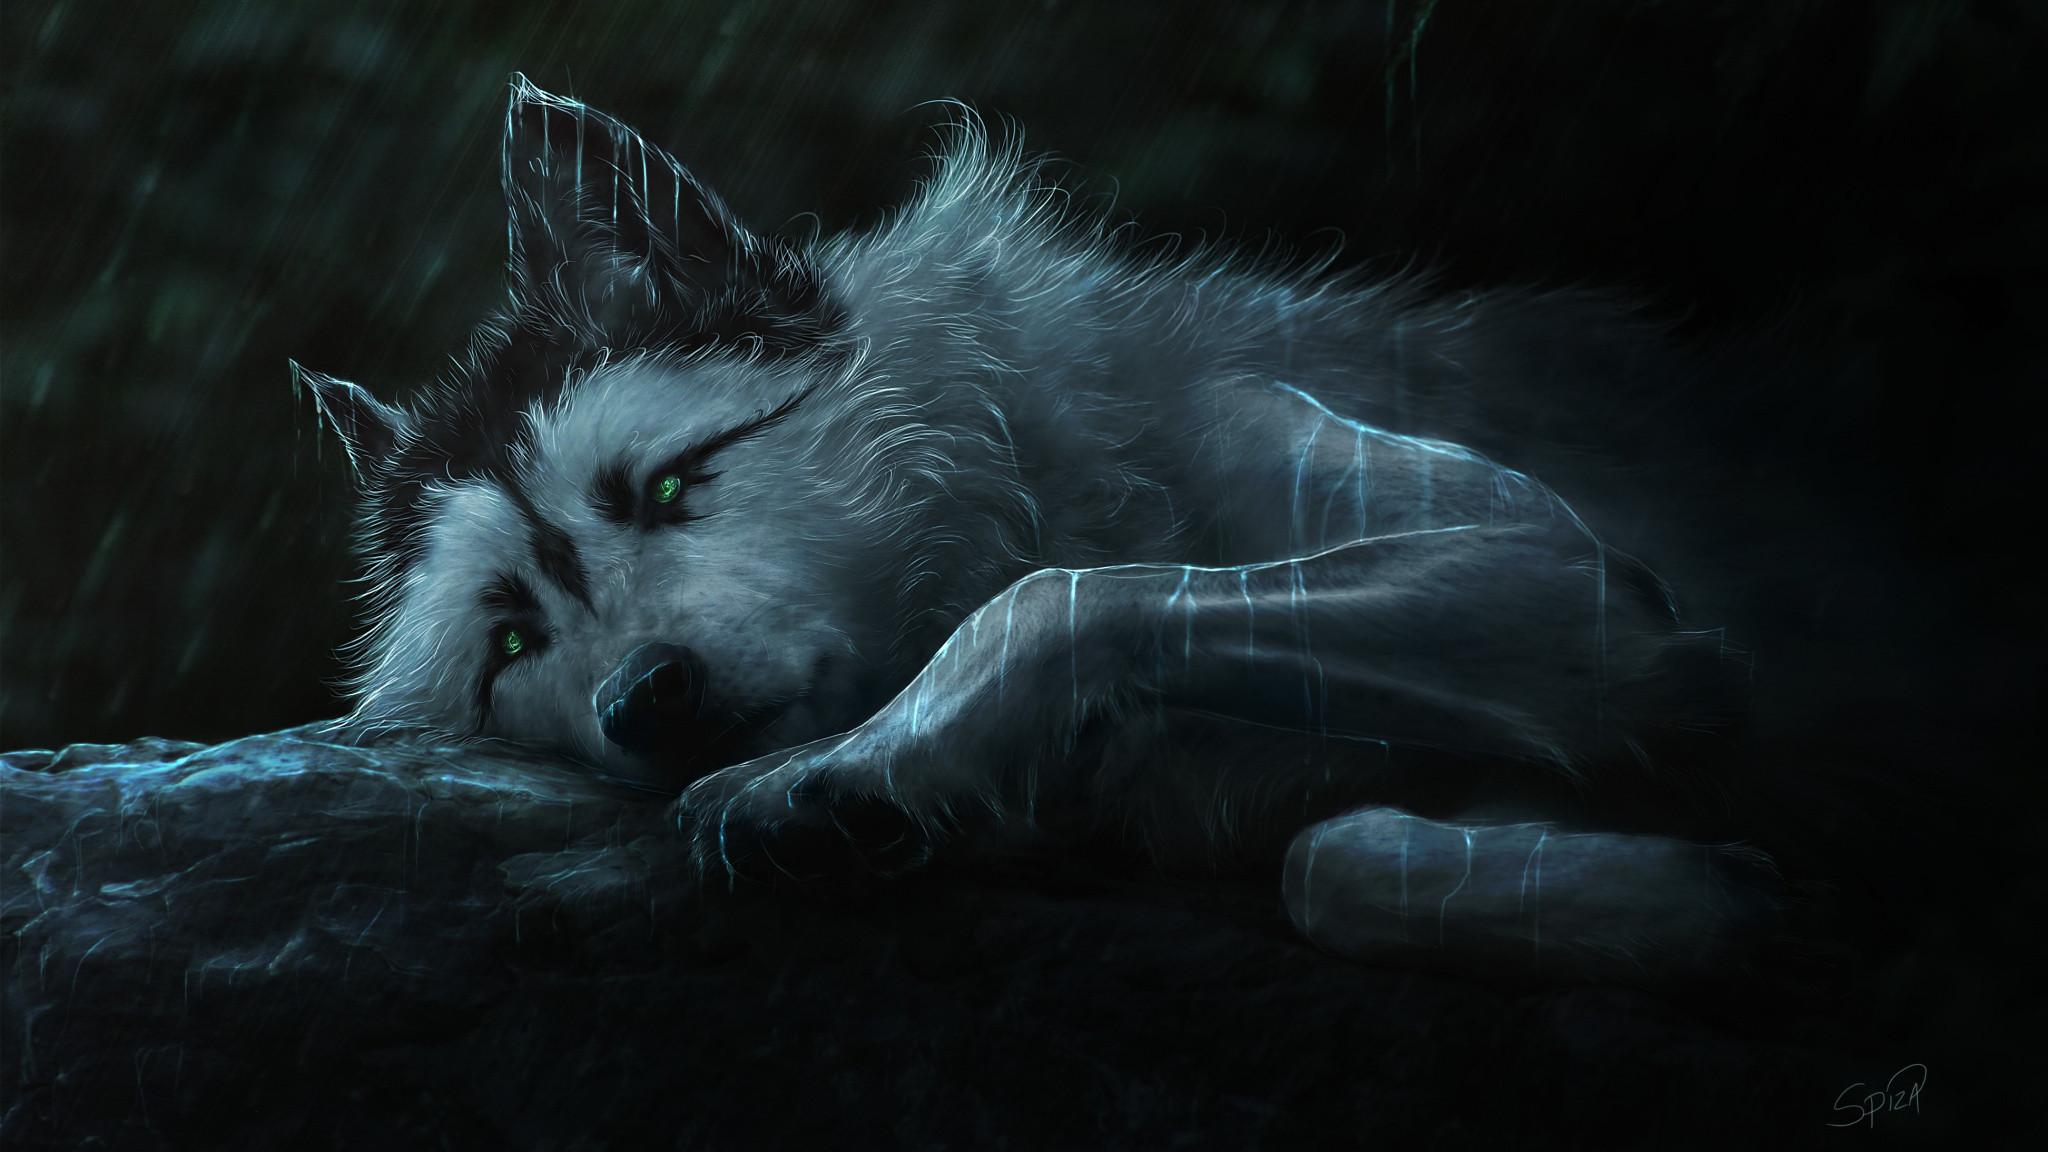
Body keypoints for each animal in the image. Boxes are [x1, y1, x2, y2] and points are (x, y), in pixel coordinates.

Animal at [299, 76, 1774, 982]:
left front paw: (841, 771)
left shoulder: (1564, 578)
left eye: (665, 488)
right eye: (510, 644)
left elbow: (1064, 600)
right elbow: (1334, 858)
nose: (643, 697)